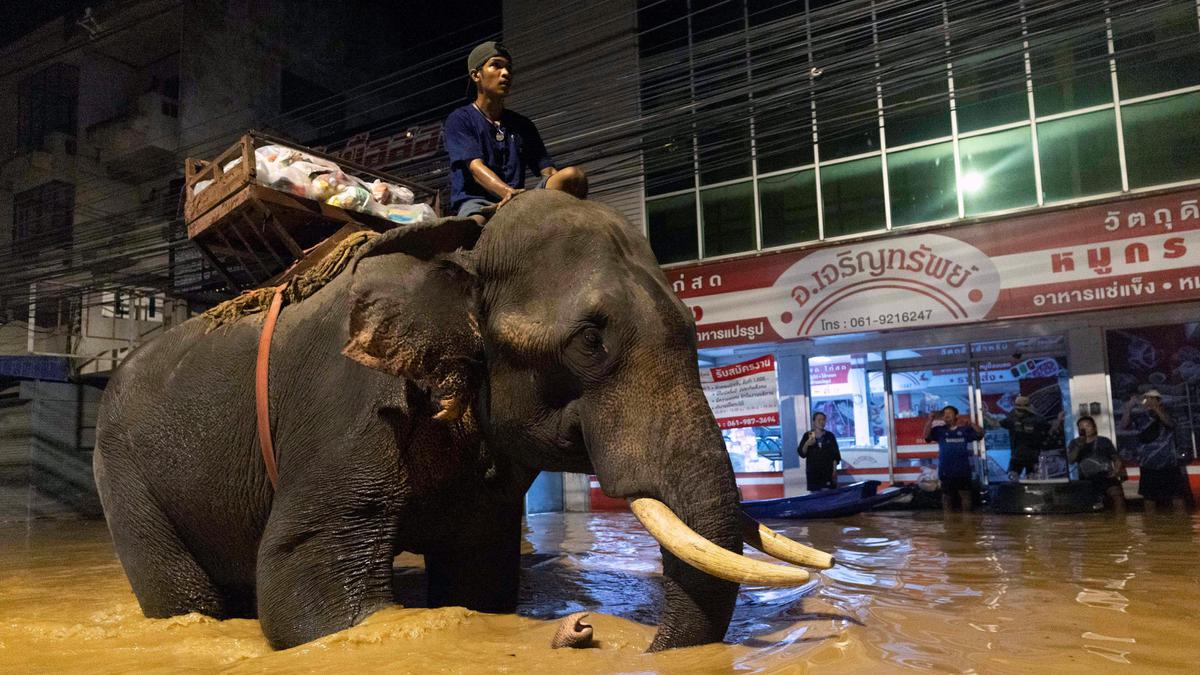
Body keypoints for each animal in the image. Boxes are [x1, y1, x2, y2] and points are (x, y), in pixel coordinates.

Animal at [93, 186, 830, 648]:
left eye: (694, 327)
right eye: (590, 340)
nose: (601, 635)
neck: (464, 246)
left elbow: (479, 575)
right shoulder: (351, 406)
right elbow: (306, 584)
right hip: (122, 473)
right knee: (184, 594)